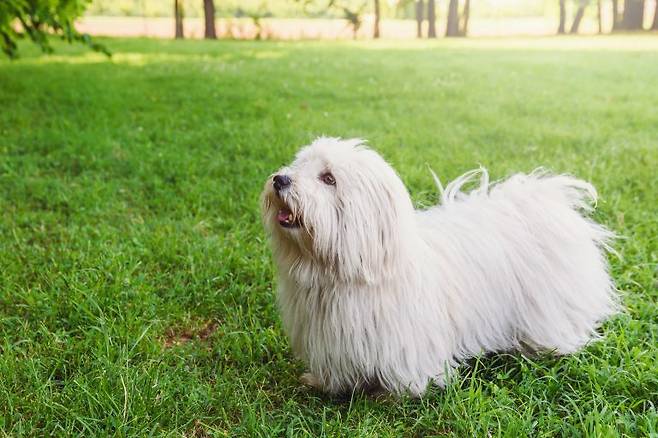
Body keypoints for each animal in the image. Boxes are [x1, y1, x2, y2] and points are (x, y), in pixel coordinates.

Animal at [260, 137, 616, 396]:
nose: (281, 179)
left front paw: (391, 395)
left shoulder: (404, 344)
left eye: (328, 178)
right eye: (300, 165)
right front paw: (322, 382)